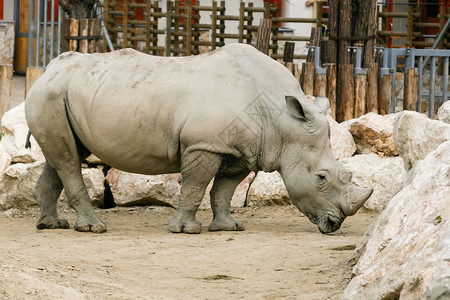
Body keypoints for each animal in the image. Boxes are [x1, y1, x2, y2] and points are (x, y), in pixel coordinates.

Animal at [23, 43, 372, 233]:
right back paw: (93, 228)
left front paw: (228, 227)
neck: (282, 122)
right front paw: (185, 230)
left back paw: (51, 224)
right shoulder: (204, 144)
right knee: (69, 160)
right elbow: (195, 186)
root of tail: (48, 69)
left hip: (62, 94)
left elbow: (224, 189)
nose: (335, 223)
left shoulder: (242, 150)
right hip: (49, 95)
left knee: (64, 156)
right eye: (321, 177)